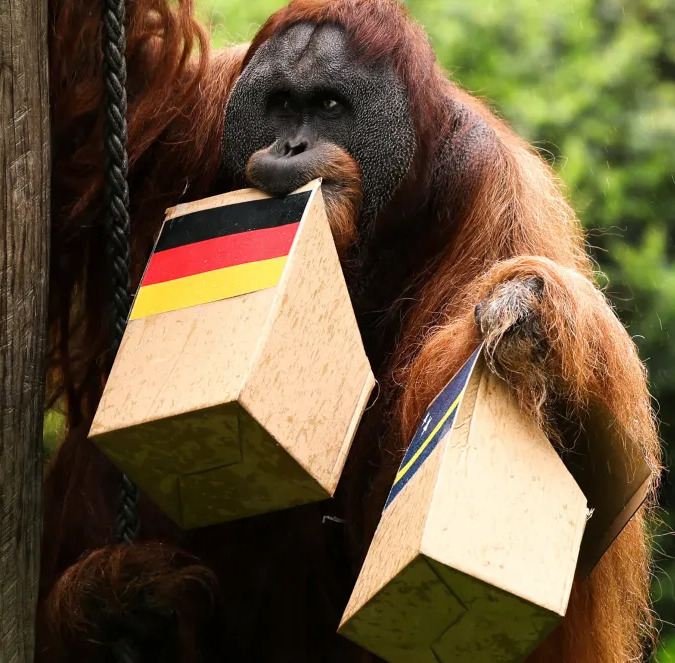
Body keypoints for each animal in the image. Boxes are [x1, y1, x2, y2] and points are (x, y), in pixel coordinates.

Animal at [42, 1, 661, 662]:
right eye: (282, 103)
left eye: (331, 106)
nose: (290, 144)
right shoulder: (194, 115)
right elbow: (80, 118)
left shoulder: (501, 201)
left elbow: (397, 489)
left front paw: (535, 329)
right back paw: (116, 611)